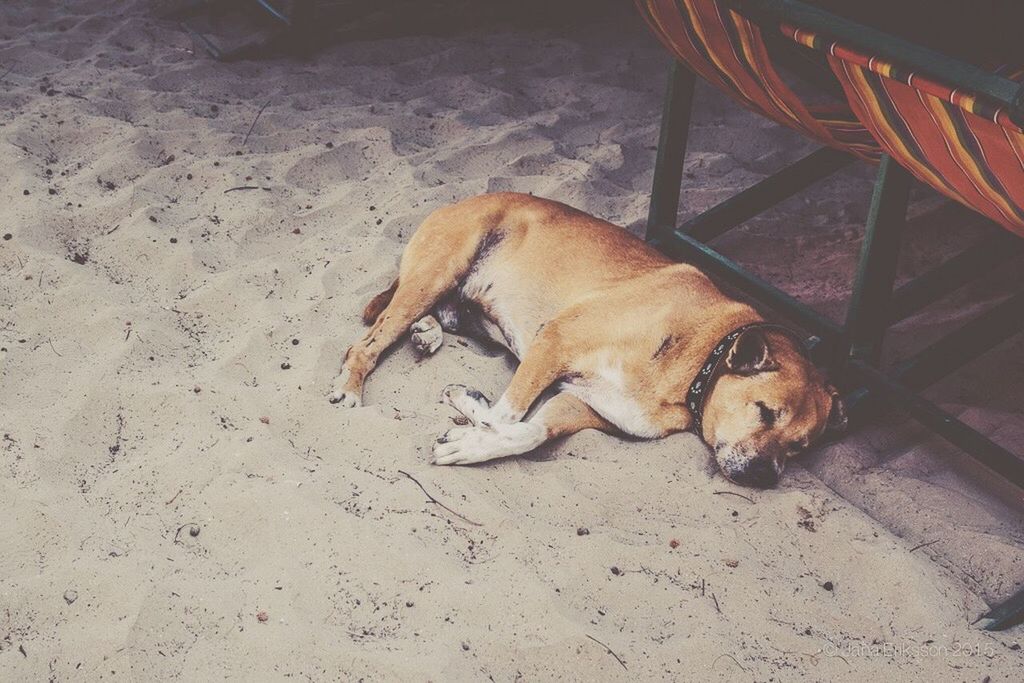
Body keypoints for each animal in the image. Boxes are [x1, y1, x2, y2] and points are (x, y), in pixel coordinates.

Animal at [329, 194, 847, 489]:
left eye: (799, 447)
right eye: (765, 411)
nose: (765, 477)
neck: (697, 362)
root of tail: (463, 200)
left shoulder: (583, 404)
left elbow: (526, 433)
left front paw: (470, 435)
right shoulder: (554, 343)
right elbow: (505, 416)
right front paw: (471, 420)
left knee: (434, 316)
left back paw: (428, 333)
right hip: (438, 271)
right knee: (369, 340)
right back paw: (351, 385)